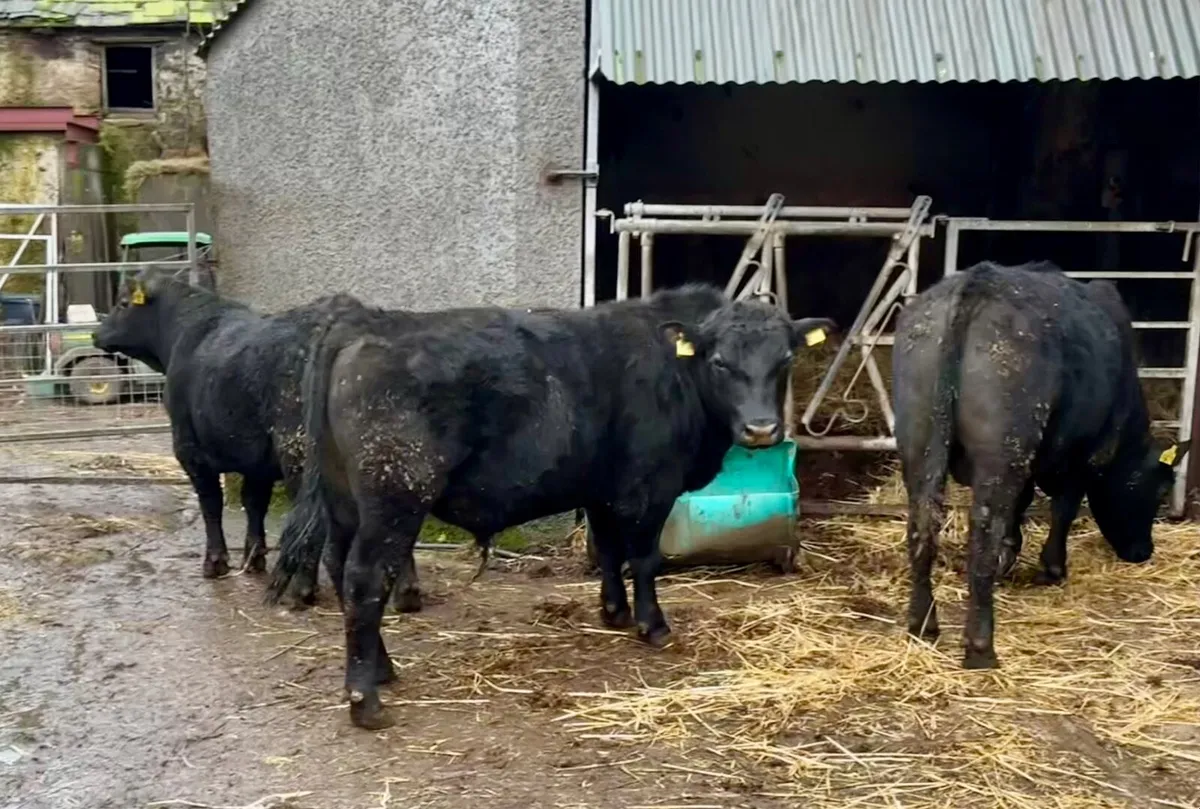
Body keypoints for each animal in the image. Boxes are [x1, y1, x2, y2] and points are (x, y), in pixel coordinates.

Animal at [264, 283, 836, 730]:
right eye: (721, 362)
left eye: (785, 360)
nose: (761, 429)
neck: (676, 374)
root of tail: (364, 320)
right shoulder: (649, 488)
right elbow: (644, 559)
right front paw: (653, 626)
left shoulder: (602, 490)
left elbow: (609, 551)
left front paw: (613, 612)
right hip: (394, 498)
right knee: (365, 580)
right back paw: (366, 700)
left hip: (345, 503)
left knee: (339, 566)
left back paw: (381, 669)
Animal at [893, 260, 1189, 670]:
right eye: (1160, 490)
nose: (1143, 552)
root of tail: (978, 282)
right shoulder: (1085, 457)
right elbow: (1063, 509)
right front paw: (1052, 567)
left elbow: (1022, 506)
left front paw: (1011, 556)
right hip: (1001, 452)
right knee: (983, 532)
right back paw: (980, 647)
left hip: (919, 444)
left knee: (922, 526)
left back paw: (922, 624)